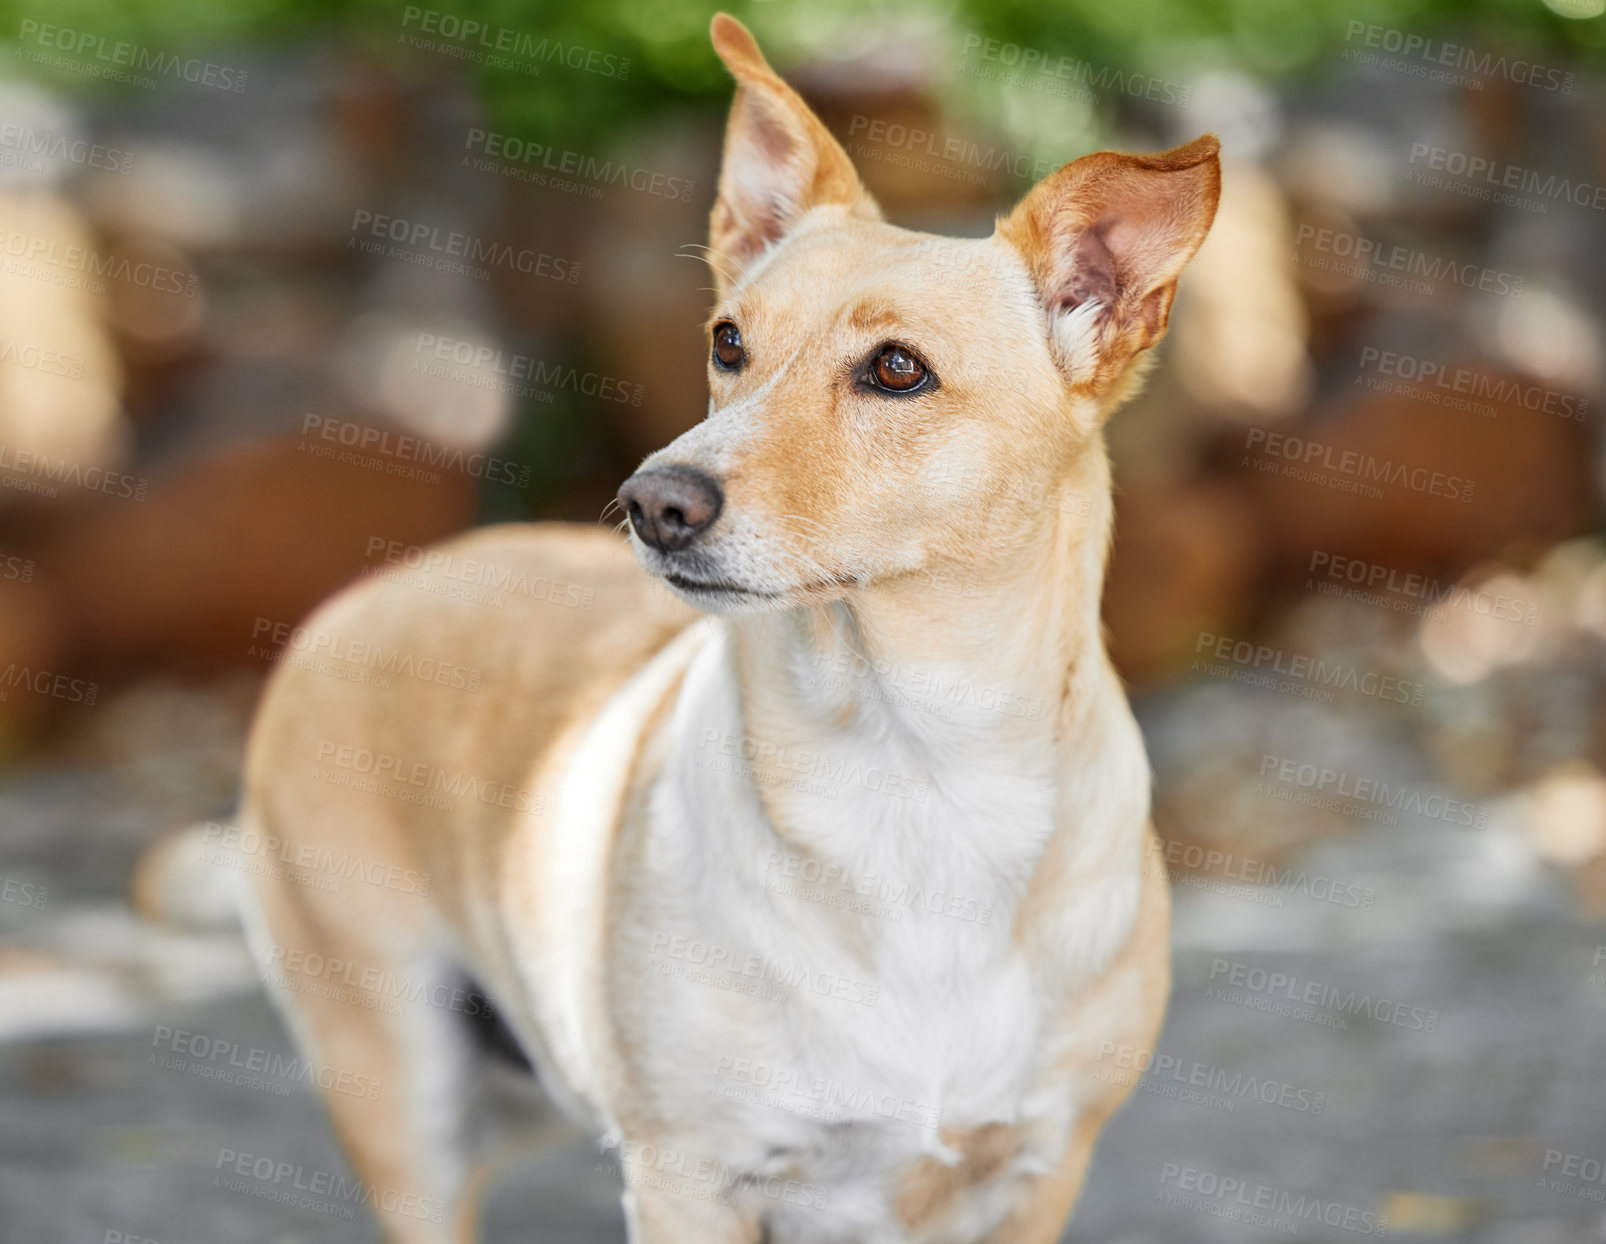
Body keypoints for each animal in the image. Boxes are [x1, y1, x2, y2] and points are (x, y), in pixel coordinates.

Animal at [179, 12, 1214, 1244]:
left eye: (897, 369)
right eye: (727, 342)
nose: (653, 499)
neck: (908, 774)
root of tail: (374, 589)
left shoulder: (1037, 1175)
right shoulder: (685, 1176)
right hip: (404, 1094)